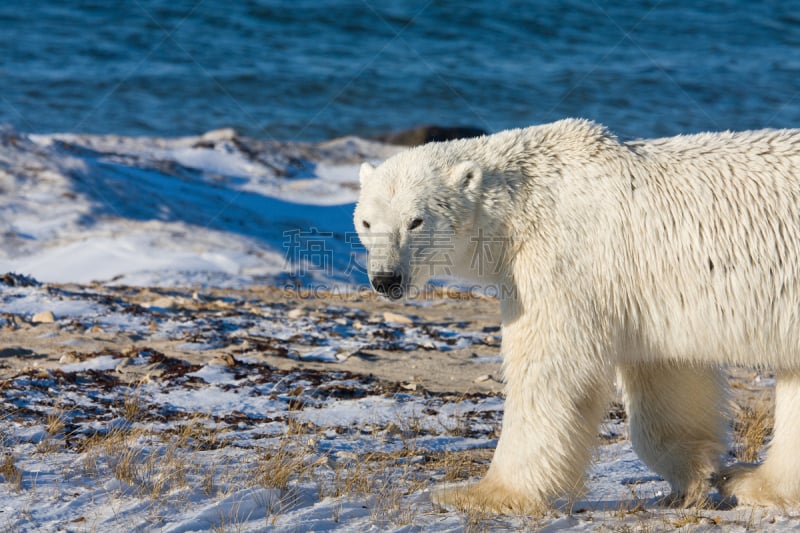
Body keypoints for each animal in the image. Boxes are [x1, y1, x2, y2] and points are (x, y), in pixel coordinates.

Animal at [356, 118, 800, 512]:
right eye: (366, 221)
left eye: (416, 221)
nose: (386, 279)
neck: (522, 205)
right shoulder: (647, 291)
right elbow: (666, 372)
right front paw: (693, 474)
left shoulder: (564, 259)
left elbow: (551, 368)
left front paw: (482, 493)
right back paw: (756, 482)